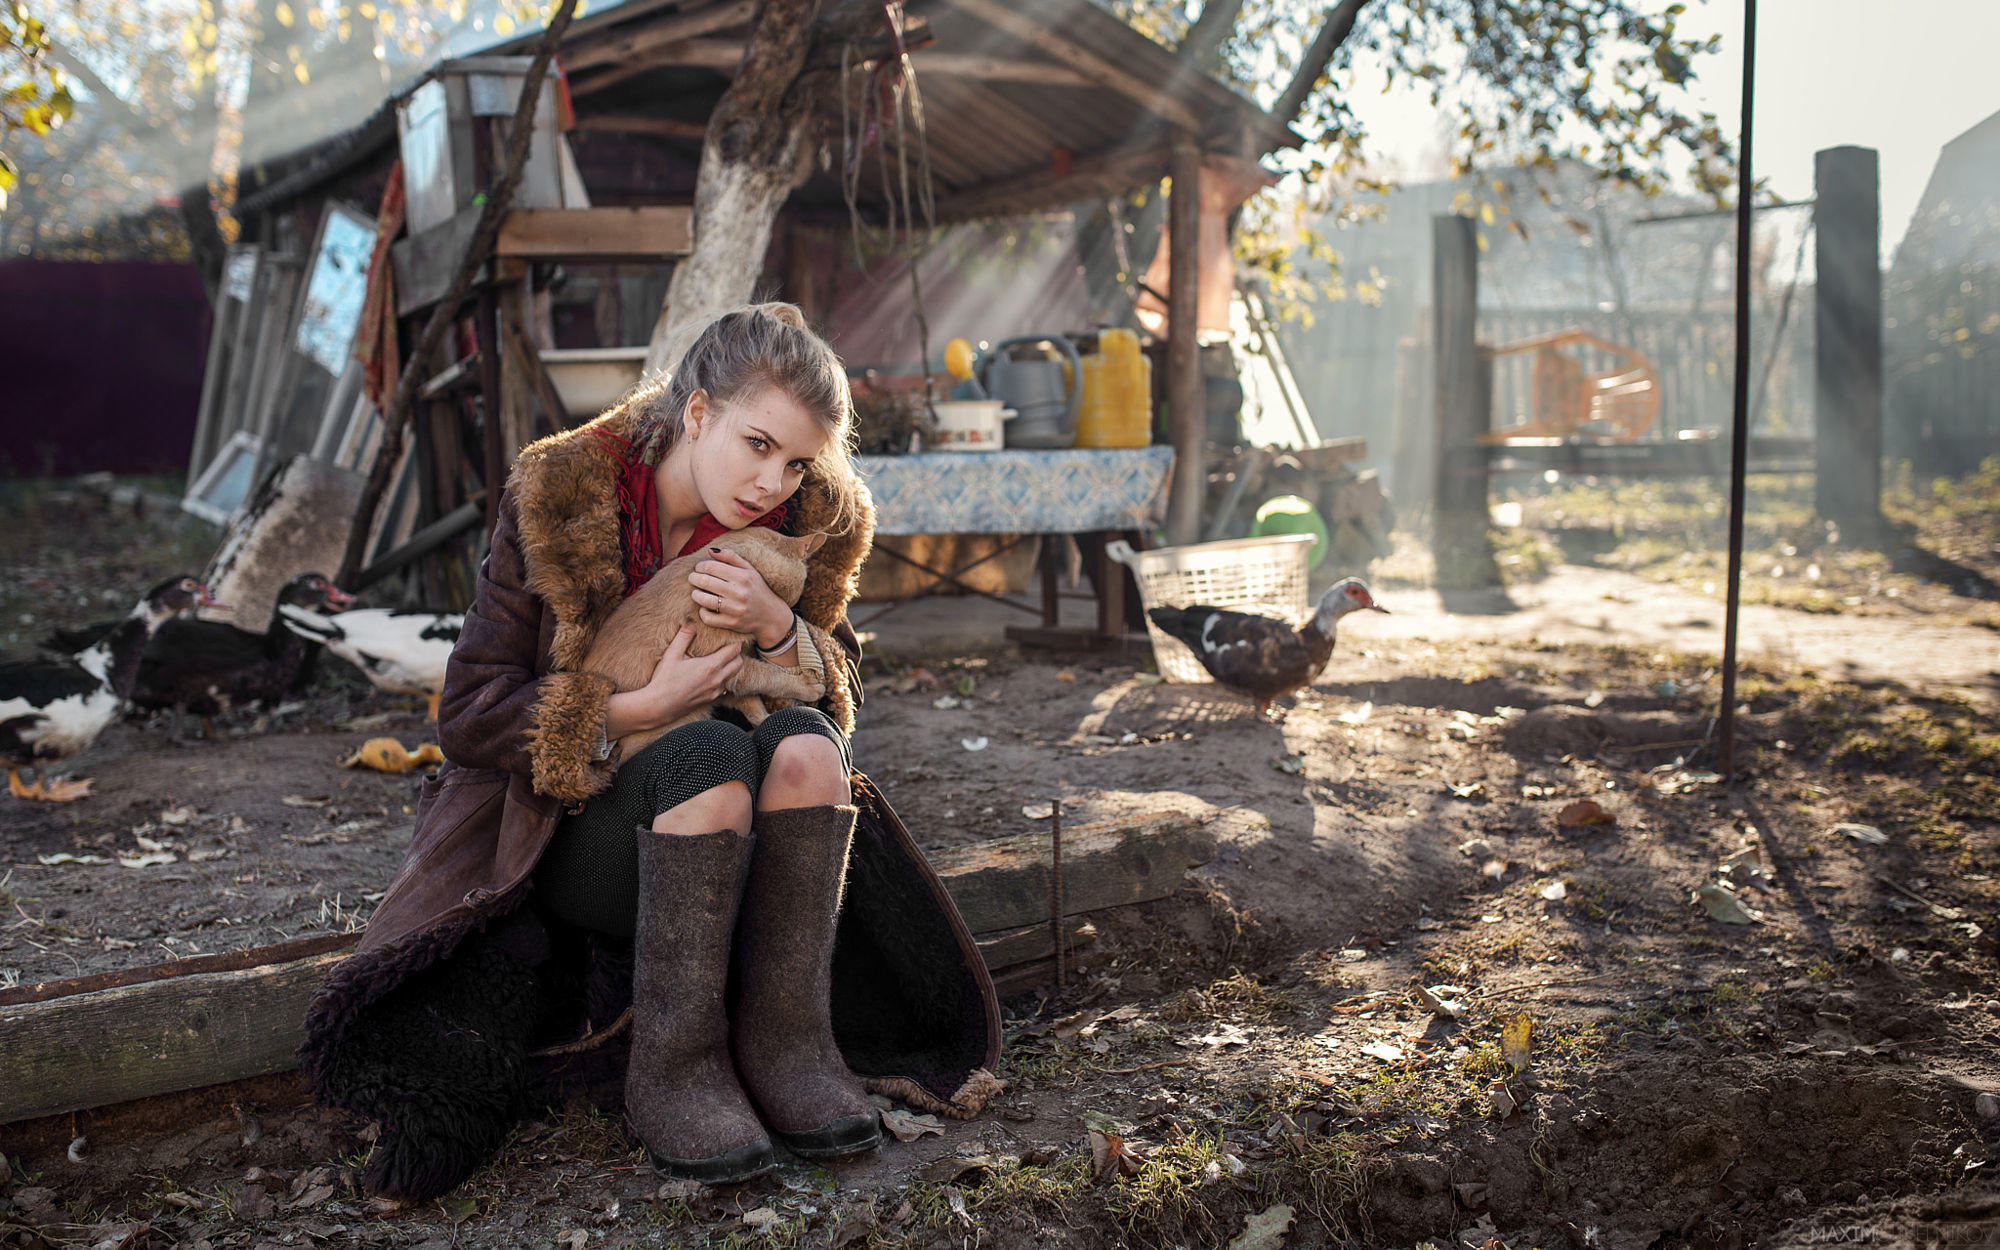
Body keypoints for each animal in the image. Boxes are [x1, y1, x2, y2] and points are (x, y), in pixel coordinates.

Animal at [580, 524, 828, 764]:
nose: (791, 608)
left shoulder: (729, 679)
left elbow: (752, 702)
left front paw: (764, 720)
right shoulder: (729, 665)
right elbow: (769, 677)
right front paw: (808, 687)